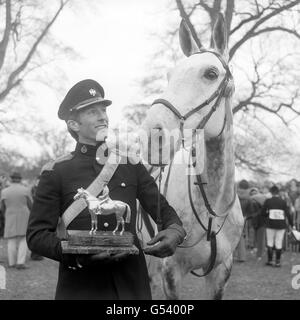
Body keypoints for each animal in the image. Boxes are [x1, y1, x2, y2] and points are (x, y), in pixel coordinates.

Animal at [139, 14, 245, 300]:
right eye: (170, 75)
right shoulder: (171, 270)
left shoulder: (221, 272)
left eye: (211, 73)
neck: (211, 209)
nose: (152, 136)